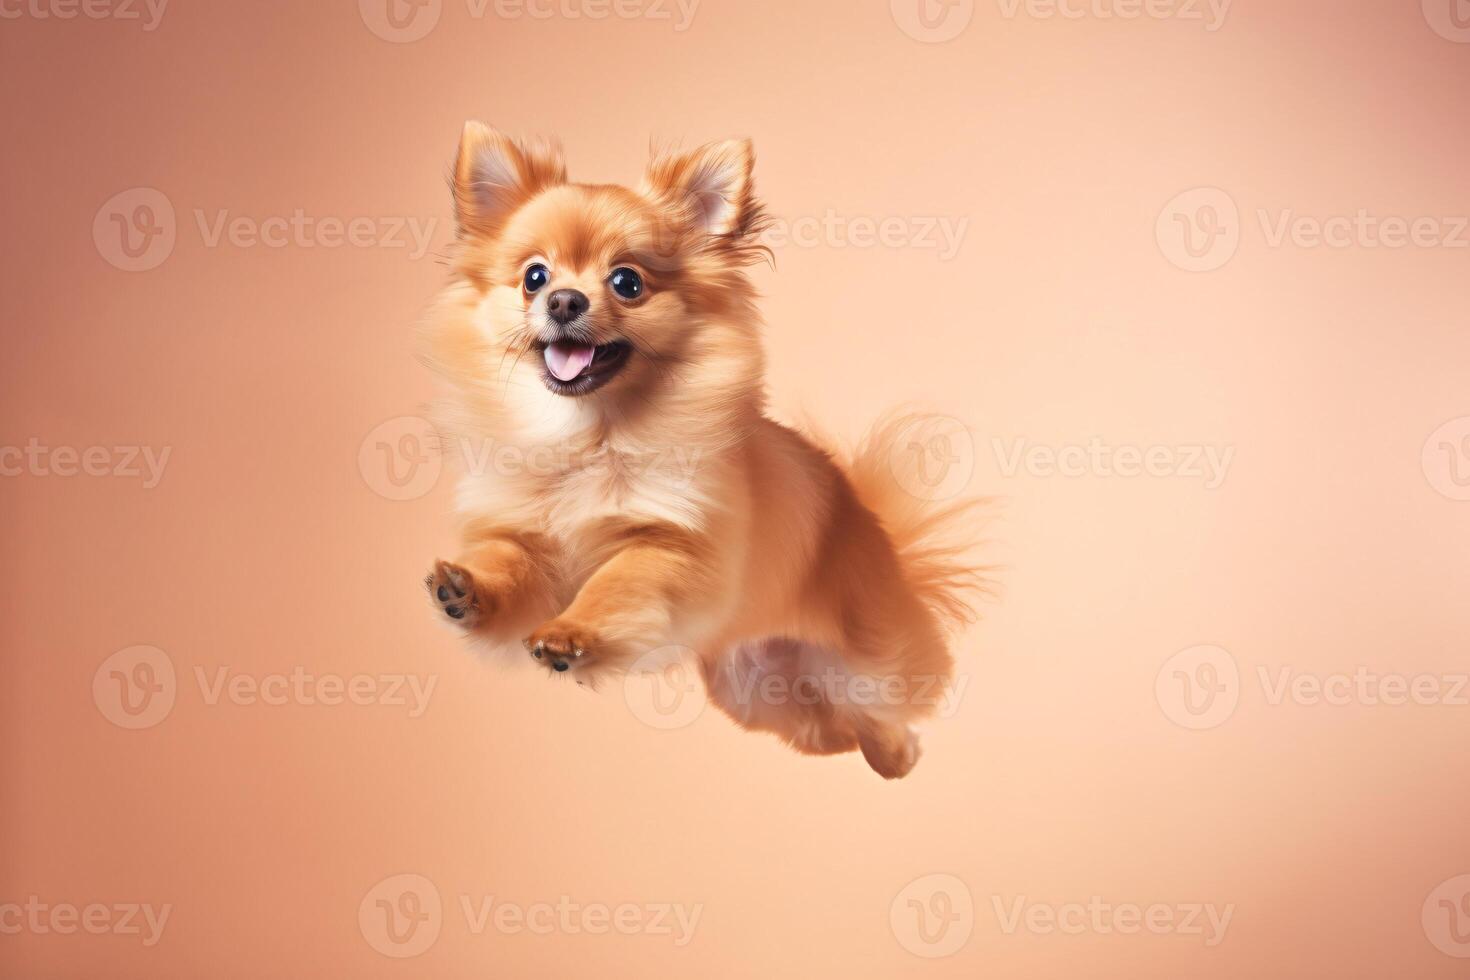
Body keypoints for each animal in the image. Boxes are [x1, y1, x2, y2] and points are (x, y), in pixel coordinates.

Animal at [420, 124, 981, 781]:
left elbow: (614, 584)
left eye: (627, 282)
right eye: (534, 276)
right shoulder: (525, 541)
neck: (589, 437)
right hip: (756, 691)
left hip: (873, 660)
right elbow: (507, 570)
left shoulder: (673, 549)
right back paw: (883, 754)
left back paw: (900, 750)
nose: (563, 300)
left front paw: (571, 633)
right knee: (830, 724)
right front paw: (466, 590)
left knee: (891, 700)